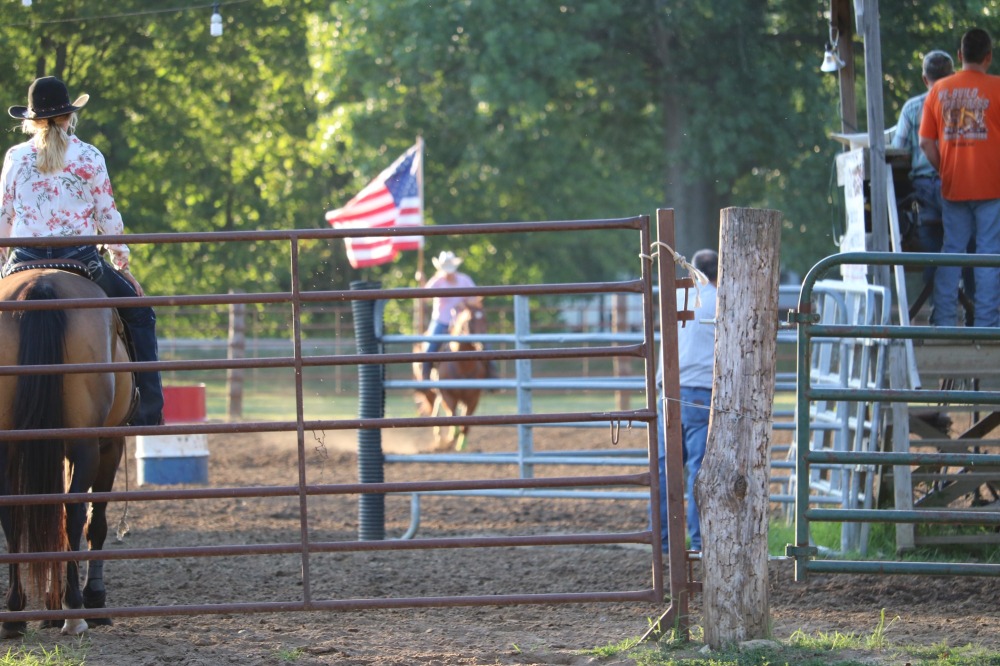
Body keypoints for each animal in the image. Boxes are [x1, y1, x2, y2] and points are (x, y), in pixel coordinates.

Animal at [0, 268, 135, 636]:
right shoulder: (111, 444)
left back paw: (15, 613)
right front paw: (94, 600)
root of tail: (42, 284)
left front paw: (51, 605)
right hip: (87, 446)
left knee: (13, 515)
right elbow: (95, 523)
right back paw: (75, 610)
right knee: (73, 514)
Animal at [412, 296, 490, 448]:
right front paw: (450, 438)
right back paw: (439, 438)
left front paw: (461, 444)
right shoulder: (447, 395)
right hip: (430, 392)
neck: (463, 366)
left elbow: (465, 424)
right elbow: (453, 417)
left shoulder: (473, 398)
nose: (483, 344)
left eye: (485, 319)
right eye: (470, 320)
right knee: (434, 411)